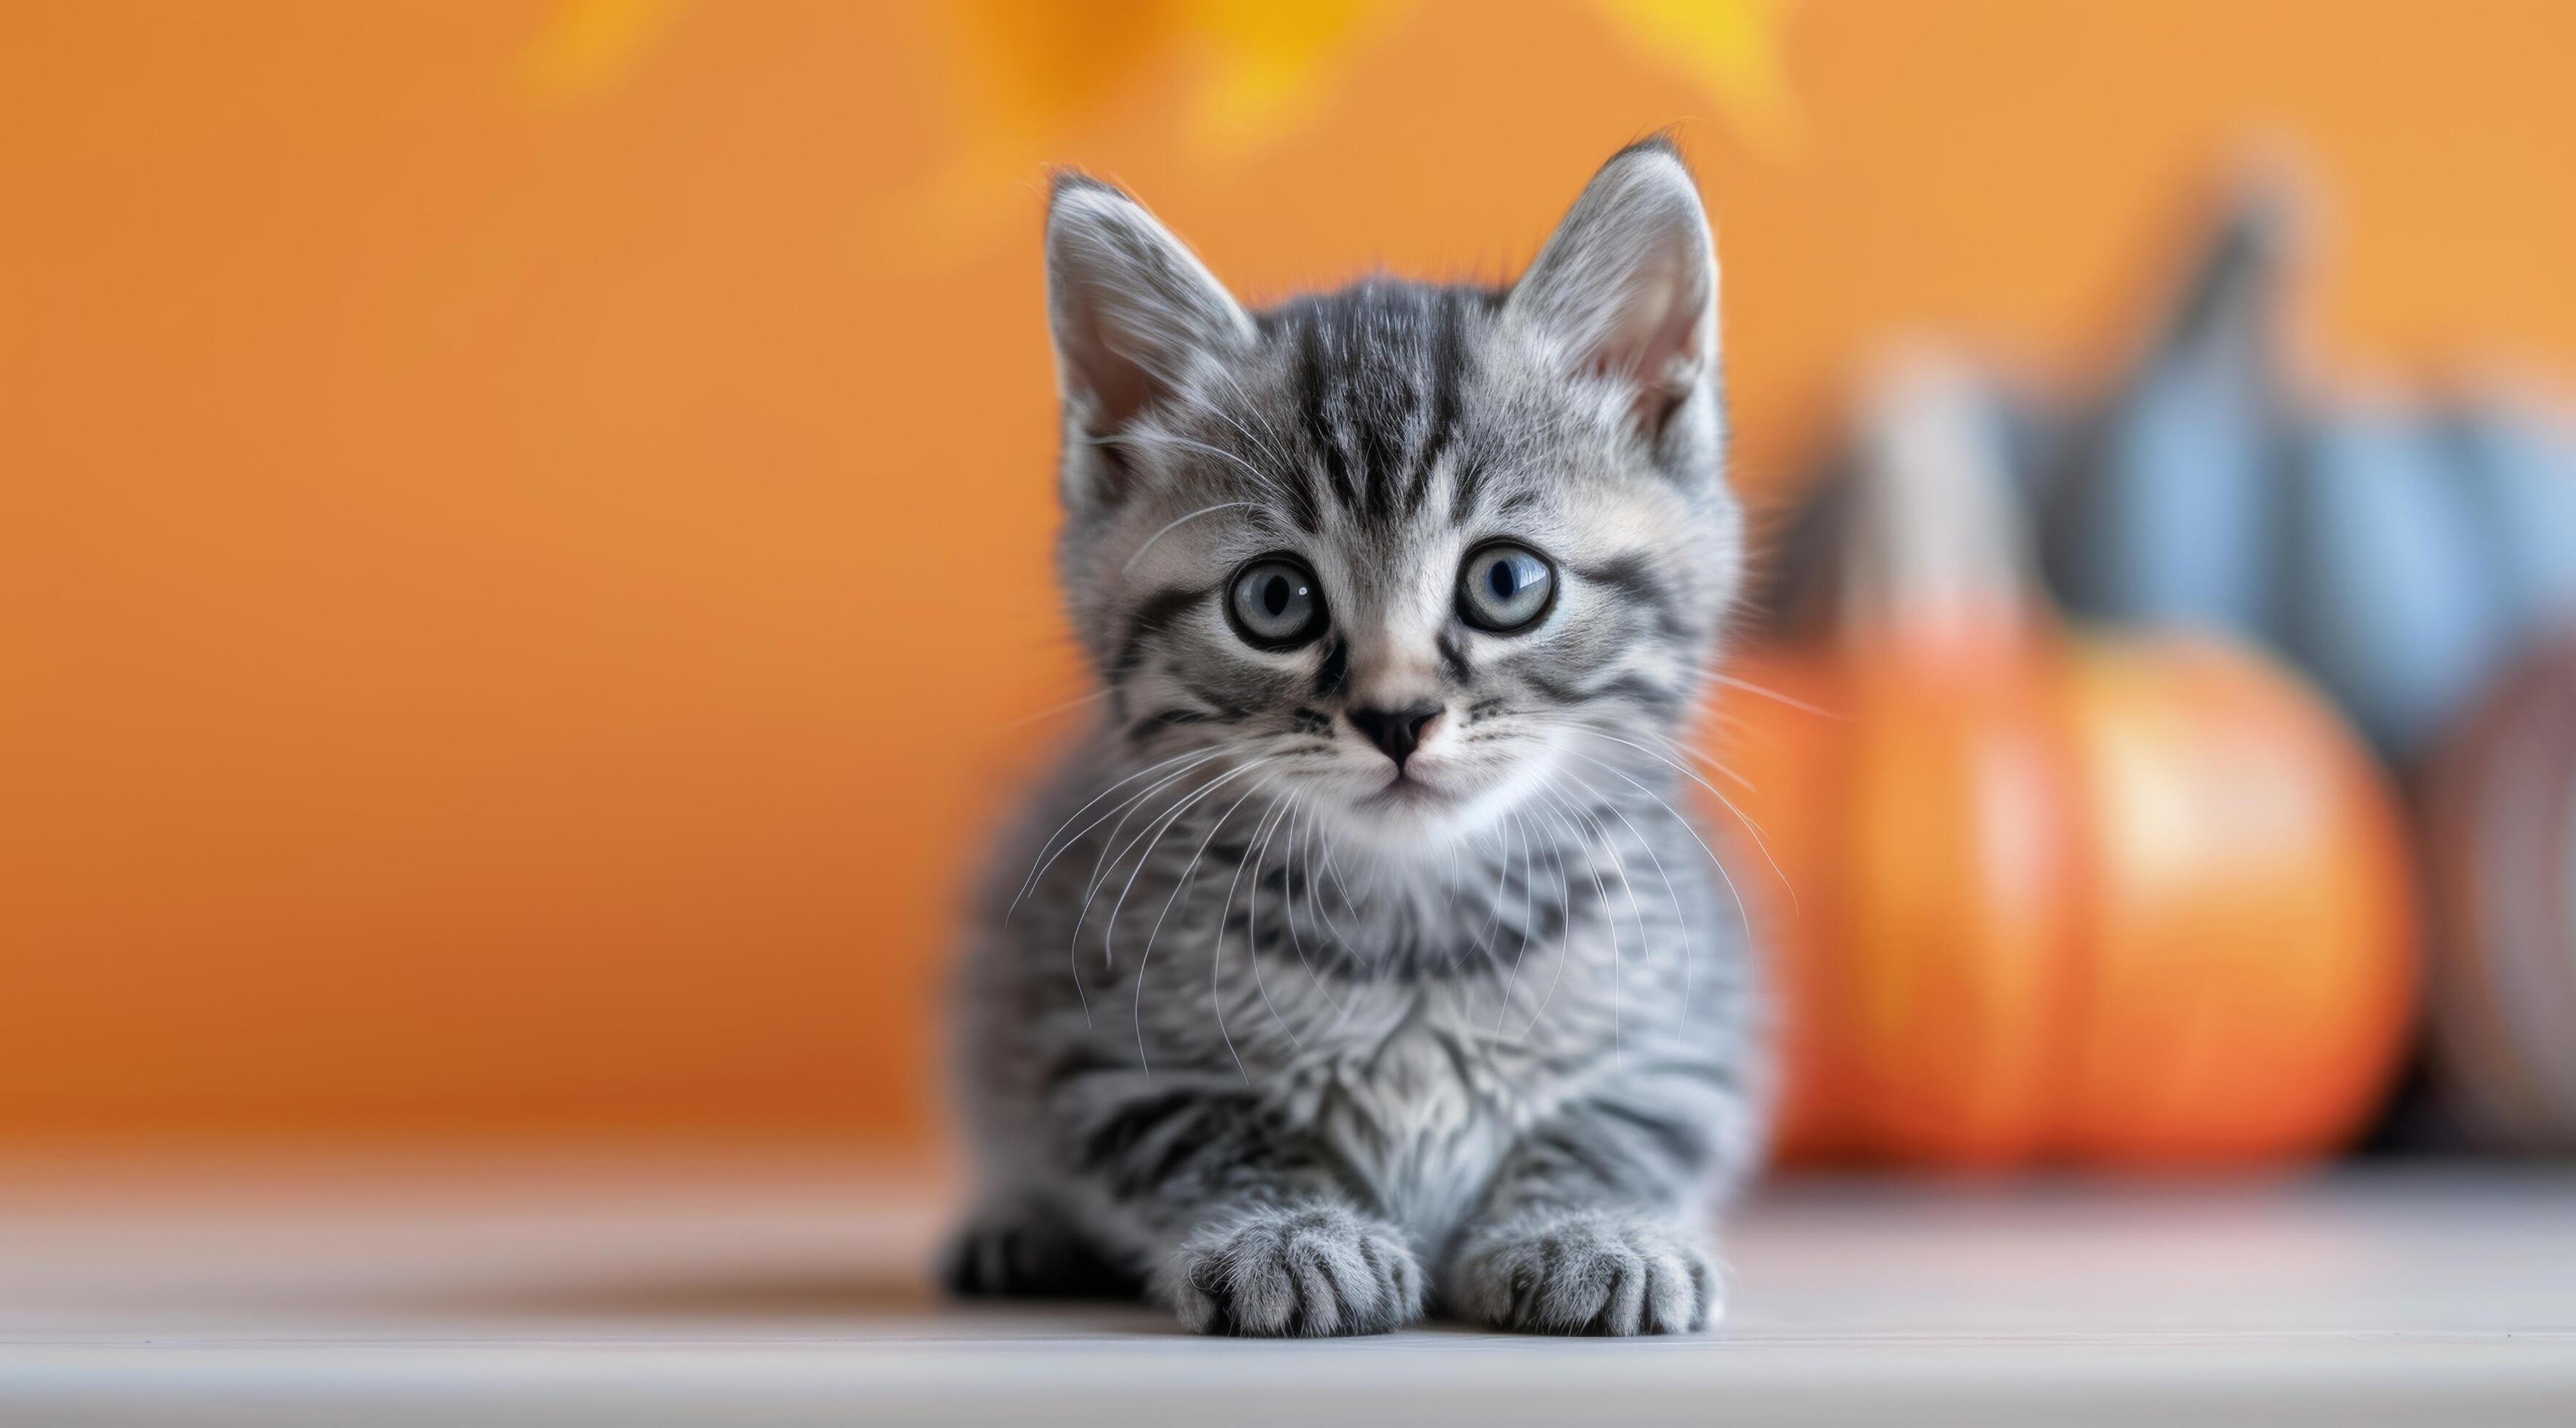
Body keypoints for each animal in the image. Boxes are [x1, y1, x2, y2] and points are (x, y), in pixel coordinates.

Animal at [948, 139, 1772, 1330]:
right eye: (1275, 600)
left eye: (1506, 582)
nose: (1396, 717)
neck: (1413, 929)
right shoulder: (1091, 1045)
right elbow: (1211, 1133)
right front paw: (1290, 1234)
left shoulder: (1688, 1032)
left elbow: (1617, 1129)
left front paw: (1588, 1230)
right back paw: (1019, 1228)